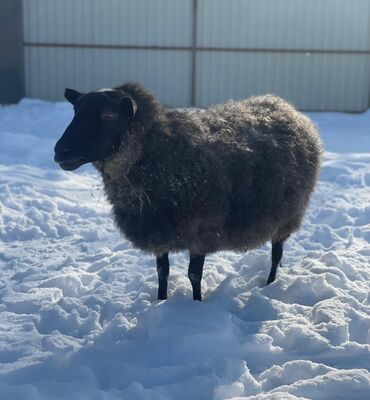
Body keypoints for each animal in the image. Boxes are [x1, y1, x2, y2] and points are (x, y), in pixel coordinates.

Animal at [53, 82, 322, 300]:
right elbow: (162, 272)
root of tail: (284, 106)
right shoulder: (158, 230)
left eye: (109, 114)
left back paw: (269, 284)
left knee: (276, 254)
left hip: (288, 215)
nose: (60, 151)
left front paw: (195, 306)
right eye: (76, 111)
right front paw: (160, 301)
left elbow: (194, 275)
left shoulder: (201, 233)